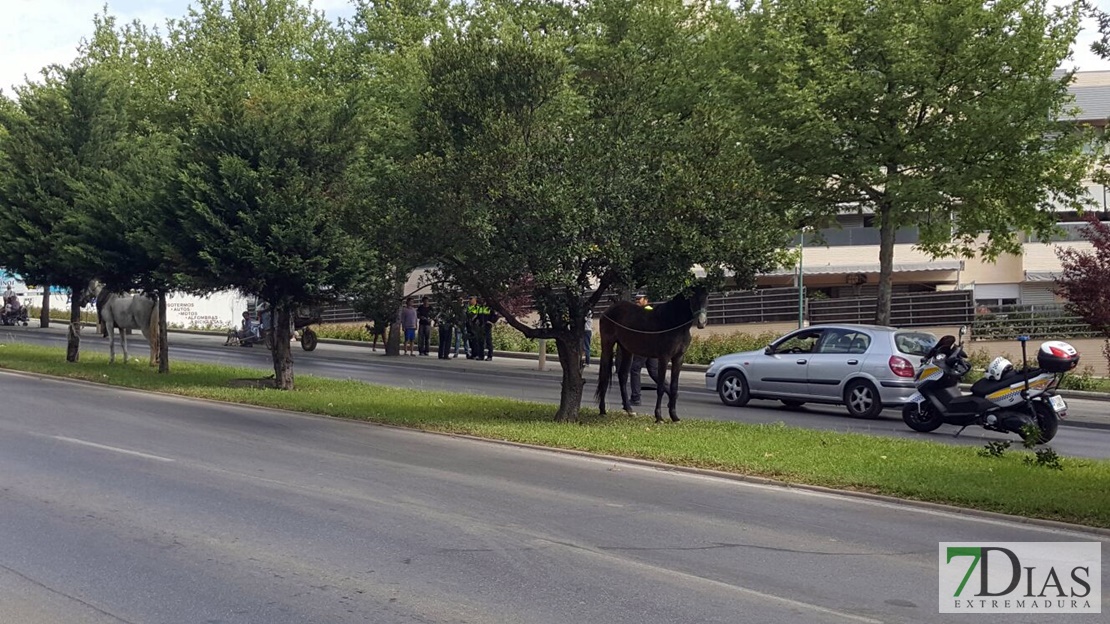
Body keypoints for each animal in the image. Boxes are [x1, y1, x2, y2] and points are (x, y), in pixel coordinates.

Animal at [599, 286, 710, 421]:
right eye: (693, 296)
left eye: (707, 296)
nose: (702, 322)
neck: (674, 322)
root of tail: (608, 311)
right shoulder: (664, 358)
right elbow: (660, 387)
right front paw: (659, 416)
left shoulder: (678, 358)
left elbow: (674, 386)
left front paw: (674, 416)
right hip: (607, 345)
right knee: (604, 375)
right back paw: (602, 409)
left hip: (626, 350)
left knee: (623, 376)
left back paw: (629, 410)